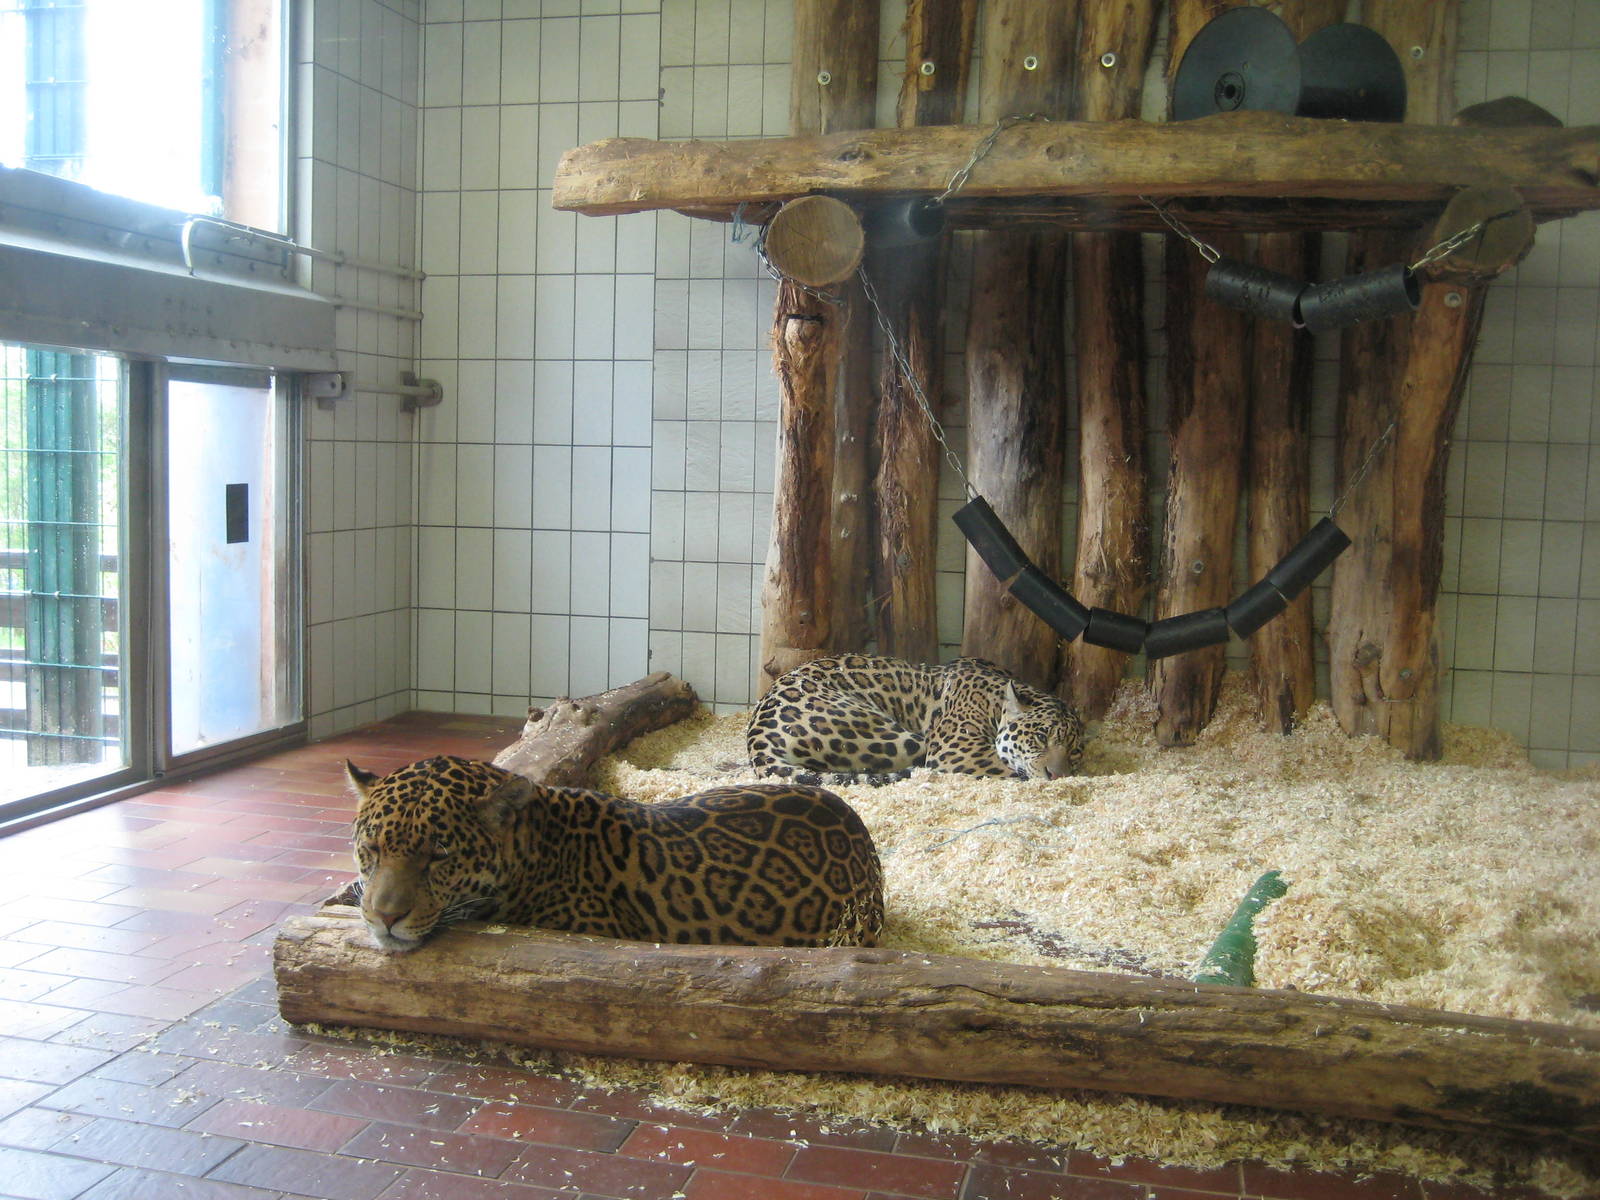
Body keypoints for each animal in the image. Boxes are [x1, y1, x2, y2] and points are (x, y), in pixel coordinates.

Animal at [747, 653, 1084, 784]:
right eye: (1041, 736)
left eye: (1075, 751)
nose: (1059, 776)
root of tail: (757, 737)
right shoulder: (957, 751)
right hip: (906, 741)